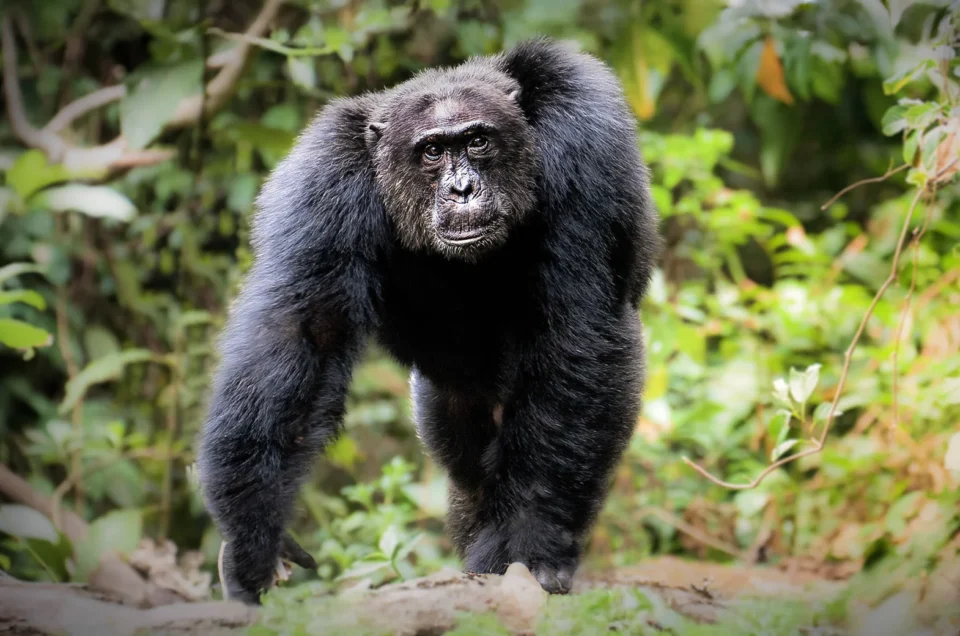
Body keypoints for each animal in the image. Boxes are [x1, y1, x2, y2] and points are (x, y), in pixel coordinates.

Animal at [196, 36, 661, 605]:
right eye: (433, 151)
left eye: (477, 140)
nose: (462, 188)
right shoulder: (324, 183)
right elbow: (303, 332)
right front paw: (253, 538)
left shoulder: (584, 134)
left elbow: (574, 326)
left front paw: (530, 546)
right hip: (441, 407)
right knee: (468, 469)